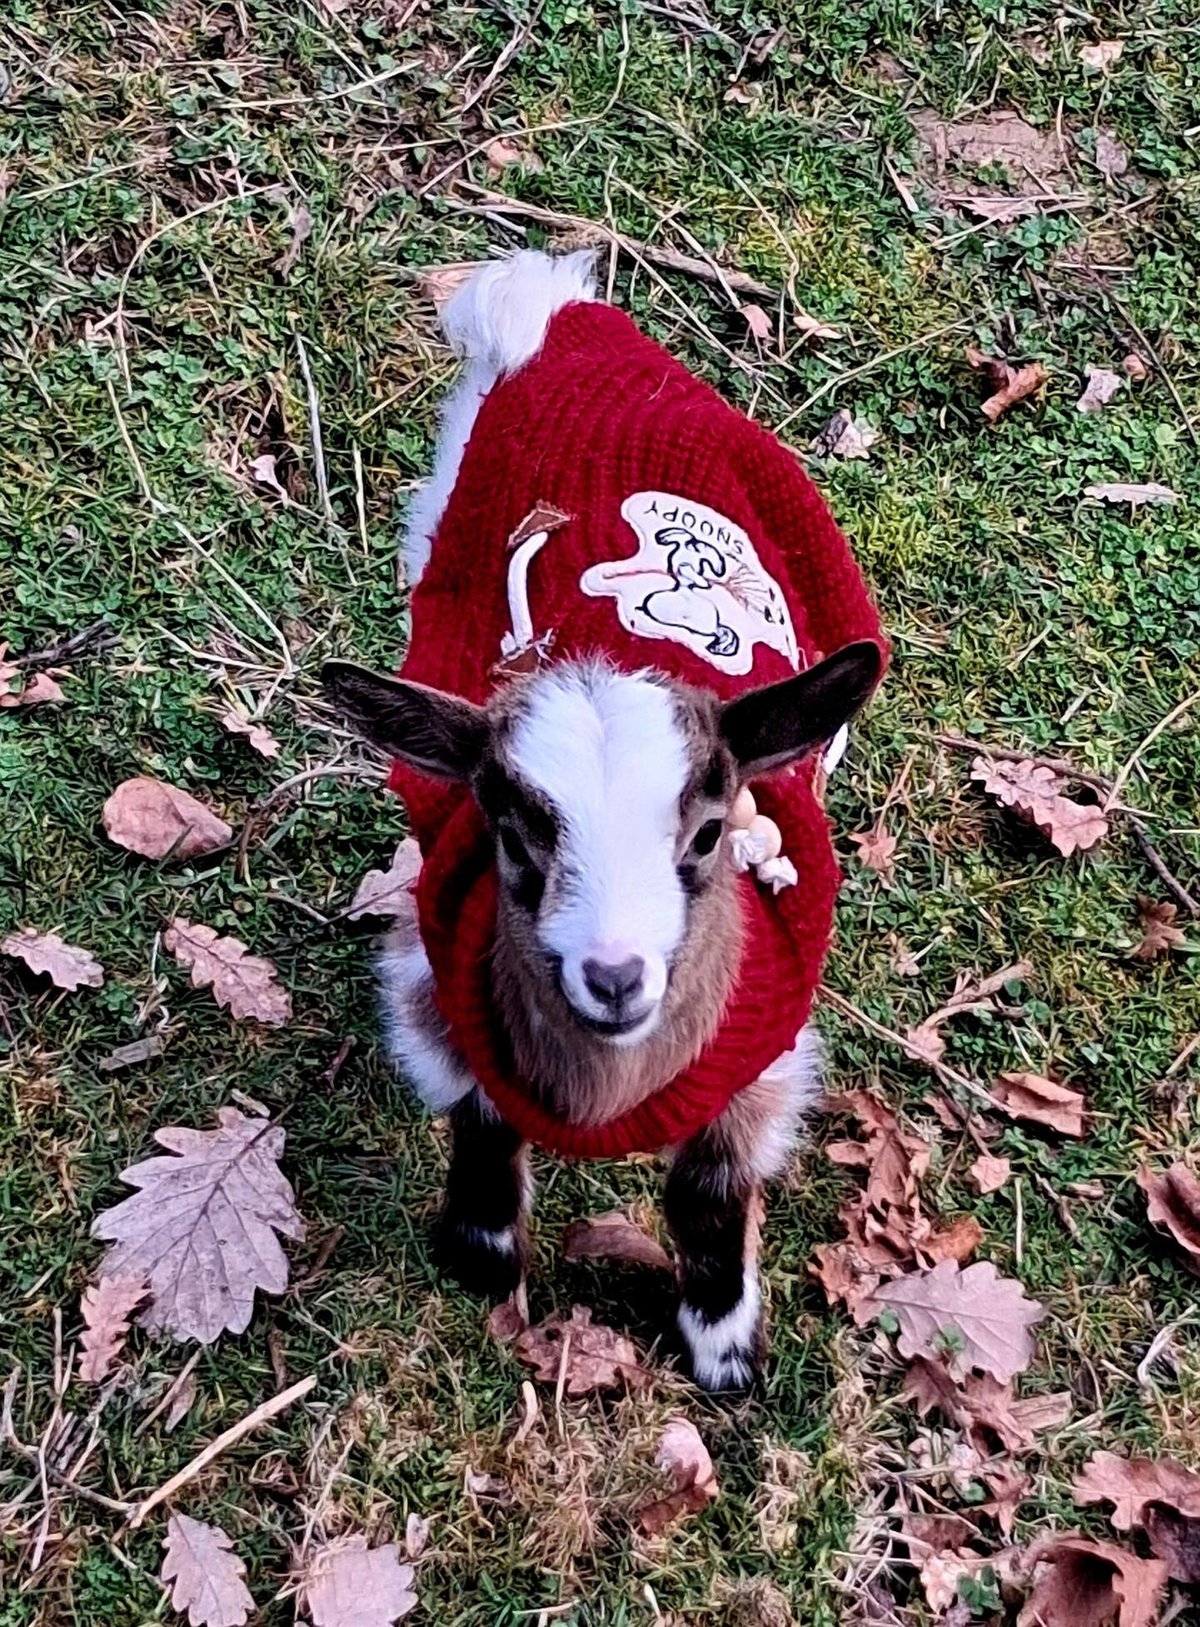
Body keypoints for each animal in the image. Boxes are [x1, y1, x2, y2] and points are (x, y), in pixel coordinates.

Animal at [324, 251, 885, 1390]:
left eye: (708, 833)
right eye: (509, 828)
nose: (617, 976)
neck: (608, 1090)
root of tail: (560, 314)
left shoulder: (759, 1051)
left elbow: (710, 1190)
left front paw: (723, 1347)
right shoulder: (440, 987)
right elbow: (480, 1118)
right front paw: (483, 1255)